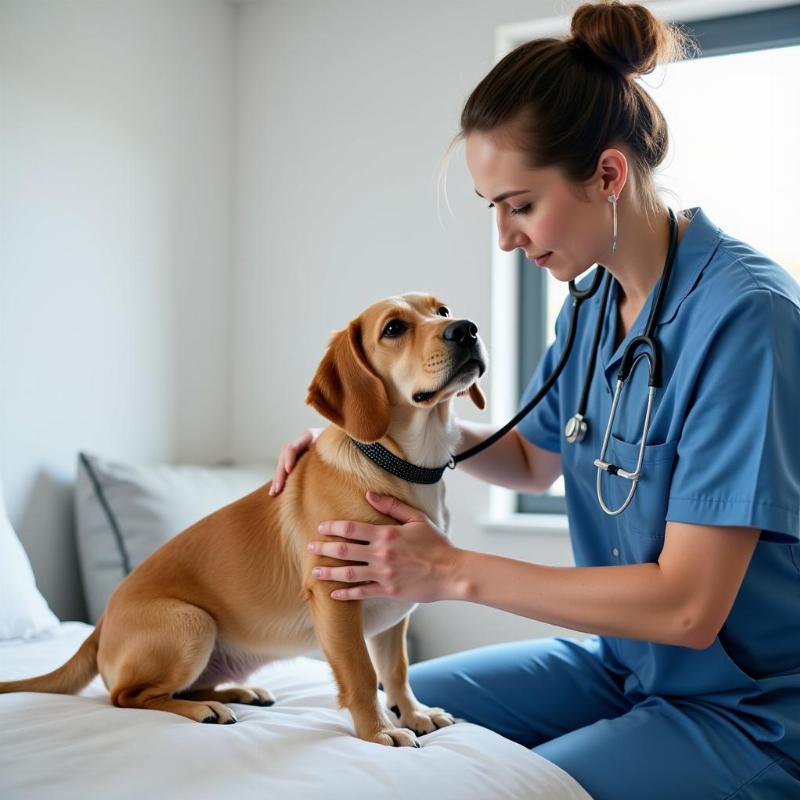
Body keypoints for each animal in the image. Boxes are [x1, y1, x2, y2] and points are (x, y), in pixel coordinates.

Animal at [1, 294, 488, 752]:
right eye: (393, 329)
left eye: (442, 310)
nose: (466, 329)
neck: (401, 466)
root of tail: (100, 626)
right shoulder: (336, 597)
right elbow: (363, 675)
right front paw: (379, 731)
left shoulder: (393, 609)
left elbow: (397, 669)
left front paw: (413, 713)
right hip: (191, 622)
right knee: (127, 697)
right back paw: (205, 709)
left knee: (173, 689)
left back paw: (236, 692)